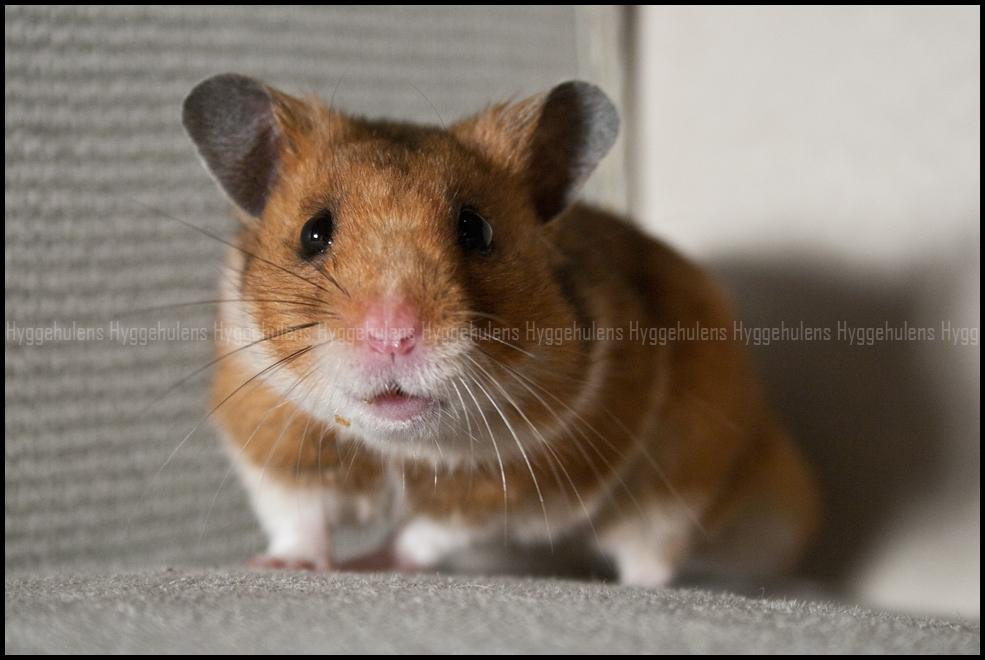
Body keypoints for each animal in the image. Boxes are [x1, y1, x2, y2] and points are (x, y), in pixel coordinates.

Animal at [181, 73, 819, 584]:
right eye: (313, 232)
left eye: (476, 230)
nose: (393, 336)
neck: (397, 446)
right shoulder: (275, 443)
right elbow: (299, 519)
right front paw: (279, 566)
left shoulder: (514, 487)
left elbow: (425, 535)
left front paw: (378, 561)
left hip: (679, 492)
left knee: (653, 559)